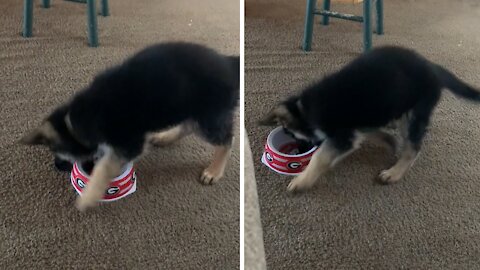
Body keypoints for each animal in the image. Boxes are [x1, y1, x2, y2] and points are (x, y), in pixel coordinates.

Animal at [21, 42, 239, 211]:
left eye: (67, 156)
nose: (57, 165)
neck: (83, 116)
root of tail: (229, 63)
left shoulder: (129, 142)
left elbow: (105, 167)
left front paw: (89, 195)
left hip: (208, 116)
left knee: (226, 139)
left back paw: (214, 170)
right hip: (192, 109)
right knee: (188, 126)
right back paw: (166, 137)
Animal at [260, 45, 480, 191]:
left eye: (294, 136)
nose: (298, 152)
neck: (306, 110)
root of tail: (433, 67)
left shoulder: (343, 135)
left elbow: (320, 157)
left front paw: (302, 181)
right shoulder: (359, 125)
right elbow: (372, 133)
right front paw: (389, 141)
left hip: (415, 113)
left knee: (414, 147)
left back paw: (395, 172)